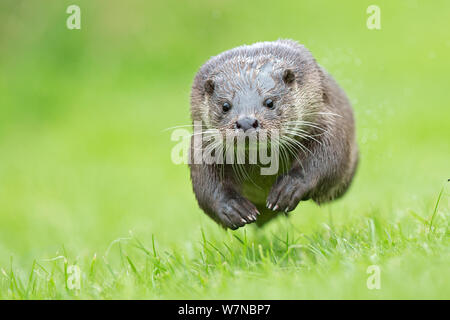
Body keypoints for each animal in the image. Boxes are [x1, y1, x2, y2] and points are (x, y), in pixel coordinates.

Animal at [188, 39, 356, 230]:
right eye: (225, 106)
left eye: (269, 102)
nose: (246, 122)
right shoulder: (202, 142)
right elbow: (207, 184)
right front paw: (233, 208)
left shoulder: (324, 121)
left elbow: (326, 157)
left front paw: (288, 188)